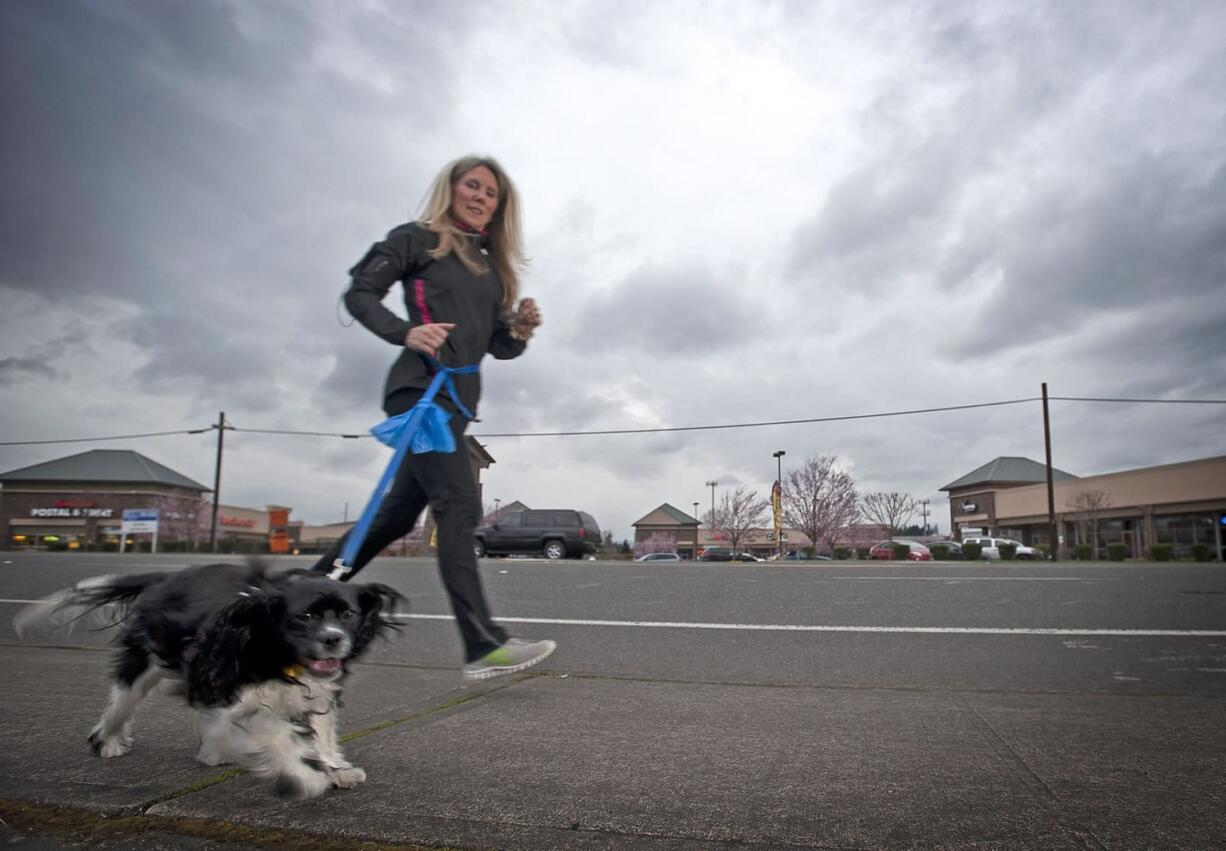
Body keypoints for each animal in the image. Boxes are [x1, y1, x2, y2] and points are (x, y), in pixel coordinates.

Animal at [13, 566, 402, 799]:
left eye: (348, 614)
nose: (334, 638)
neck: (278, 655)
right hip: (147, 665)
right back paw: (107, 742)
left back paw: (212, 751)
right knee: (120, 703)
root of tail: (164, 578)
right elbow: (276, 731)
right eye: (305, 616)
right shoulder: (236, 692)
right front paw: (305, 775)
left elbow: (321, 731)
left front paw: (334, 768)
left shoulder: (317, 689)